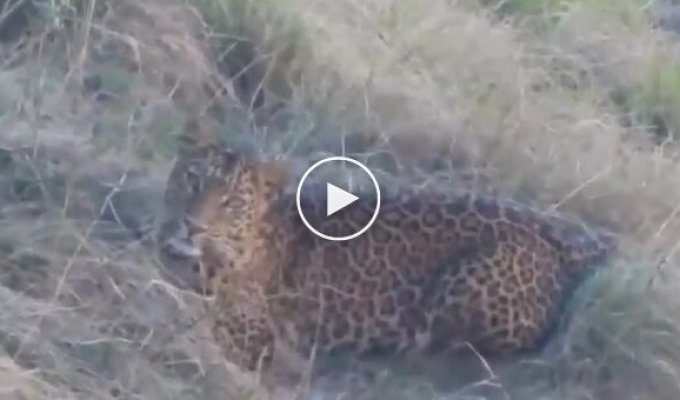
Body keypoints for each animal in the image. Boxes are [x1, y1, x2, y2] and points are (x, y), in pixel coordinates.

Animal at [156, 140, 617, 376]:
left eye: (231, 202)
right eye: (192, 179)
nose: (190, 225)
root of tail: (569, 241)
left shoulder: (253, 329)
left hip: (474, 279)